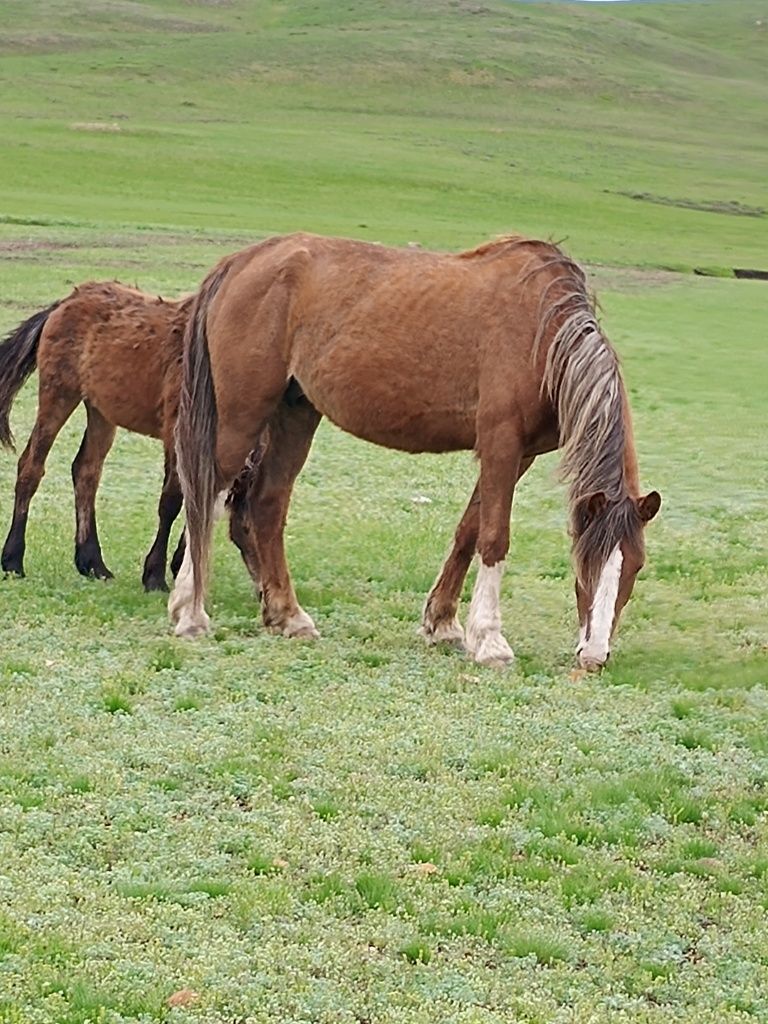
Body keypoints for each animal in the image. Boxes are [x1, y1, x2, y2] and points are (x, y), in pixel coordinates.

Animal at [169, 230, 663, 671]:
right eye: (585, 563)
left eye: (636, 567)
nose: (595, 656)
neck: (543, 332)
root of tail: (243, 260)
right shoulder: (501, 443)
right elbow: (494, 537)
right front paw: (490, 640)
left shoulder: (517, 455)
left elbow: (468, 531)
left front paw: (442, 623)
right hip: (243, 414)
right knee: (207, 495)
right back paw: (190, 612)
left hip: (296, 412)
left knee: (267, 506)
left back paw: (289, 616)